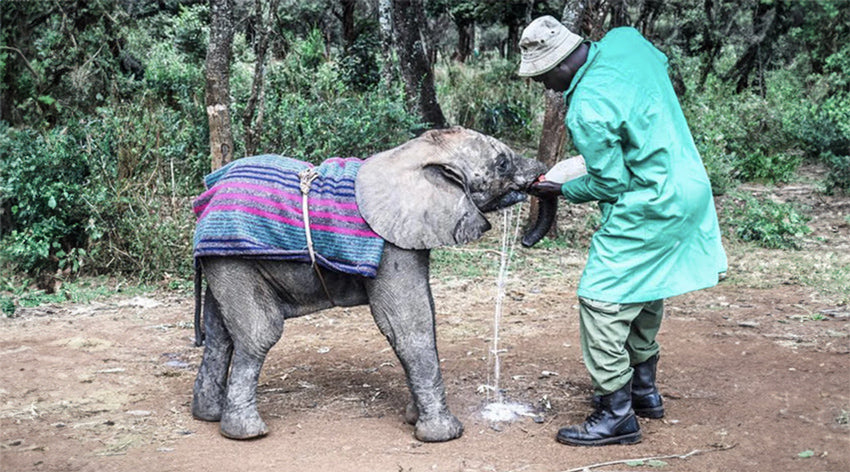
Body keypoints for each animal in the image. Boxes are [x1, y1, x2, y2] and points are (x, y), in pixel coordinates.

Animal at [190, 127, 544, 440]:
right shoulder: (391, 246)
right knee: (259, 332)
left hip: (226, 261)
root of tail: (207, 197)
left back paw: (208, 416)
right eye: (502, 163)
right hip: (237, 257)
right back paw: (246, 433)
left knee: (220, 333)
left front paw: (413, 417)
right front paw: (445, 435)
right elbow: (408, 325)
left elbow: (423, 314)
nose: (541, 177)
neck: (416, 152)